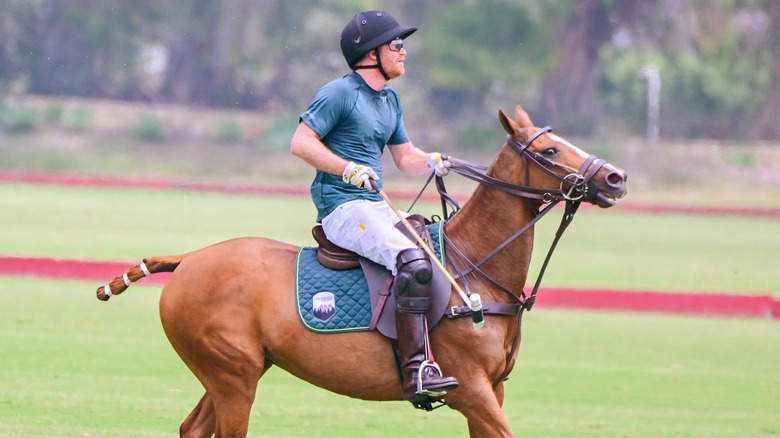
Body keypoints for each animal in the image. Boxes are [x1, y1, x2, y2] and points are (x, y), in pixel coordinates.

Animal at [95, 104, 627, 437]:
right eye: (551, 151)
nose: (616, 177)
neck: (474, 267)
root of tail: (188, 260)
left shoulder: (492, 389)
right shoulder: (472, 389)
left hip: (235, 371)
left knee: (191, 428)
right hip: (232, 376)